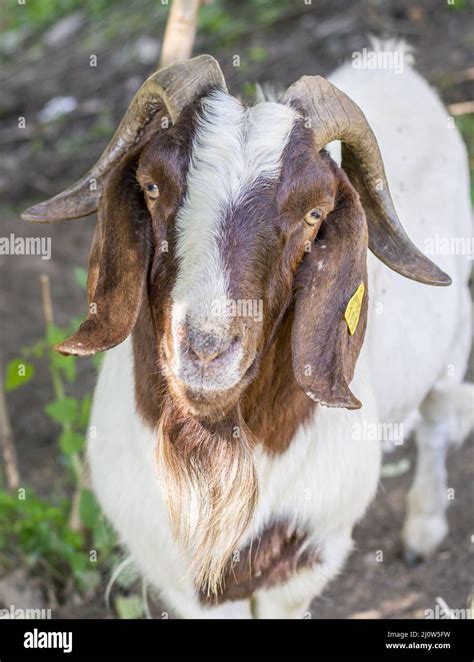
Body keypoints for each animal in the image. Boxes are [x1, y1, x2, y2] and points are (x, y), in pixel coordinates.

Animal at [24, 49, 472, 620]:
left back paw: (423, 529)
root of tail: (388, 55)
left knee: (436, 420)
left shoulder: (307, 552)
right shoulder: (179, 573)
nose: (207, 348)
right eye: (151, 186)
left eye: (315, 213)